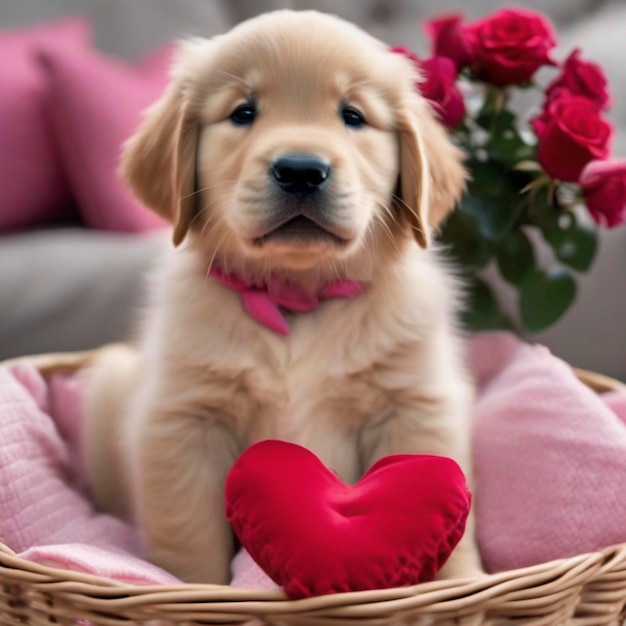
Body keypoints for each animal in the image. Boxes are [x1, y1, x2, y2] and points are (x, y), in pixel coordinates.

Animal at [84, 9, 482, 584]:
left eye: (353, 116)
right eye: (243, 112)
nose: (300, 170)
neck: (296, 299)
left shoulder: (415, 405)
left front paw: (464, 586)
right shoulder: (182, 420)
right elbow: (189, 538)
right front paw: (193, 588)